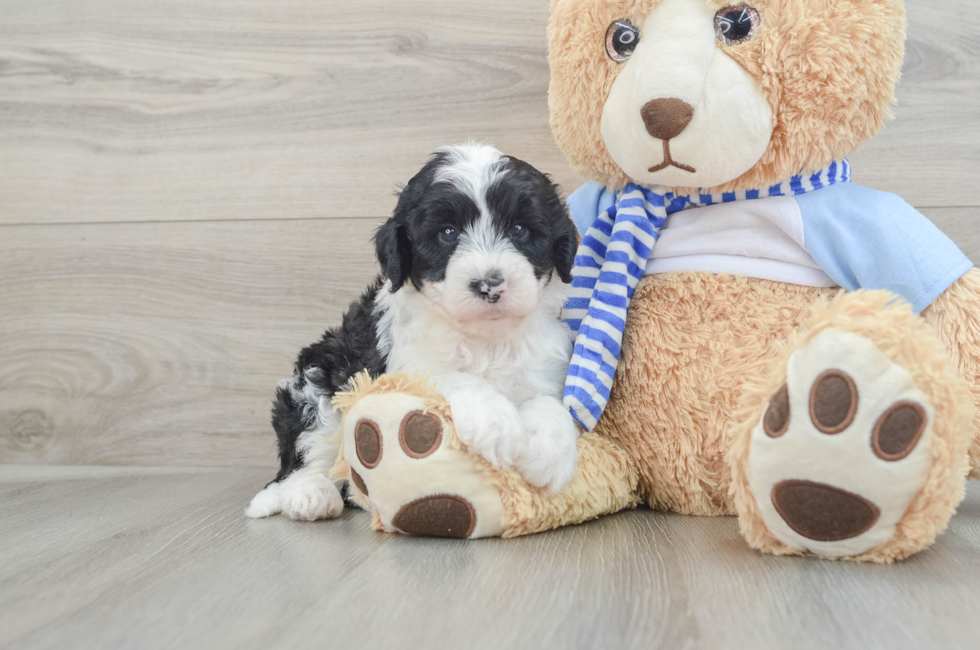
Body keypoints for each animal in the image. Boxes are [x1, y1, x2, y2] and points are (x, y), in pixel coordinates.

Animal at [247, 144, 580, 520]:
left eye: (520, 229)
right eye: (447, 233)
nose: (489, 284)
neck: (484, 339)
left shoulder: (543, 364)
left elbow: (549, 402)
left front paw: (549, 453)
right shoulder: (402, 365)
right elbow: (453, 377)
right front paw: (495, 423)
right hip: (317, 380)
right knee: (306, 452)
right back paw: (310, 495)